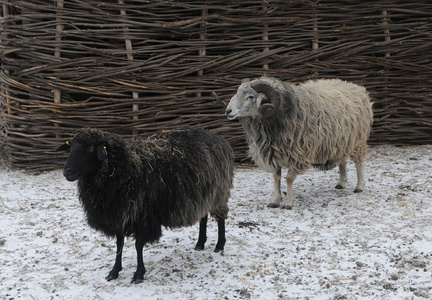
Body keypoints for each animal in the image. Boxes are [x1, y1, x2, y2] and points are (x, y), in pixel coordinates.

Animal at [57, 127, 235, 282]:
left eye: (91, 148)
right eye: (71, 146)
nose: (67, 171)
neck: (126, 167)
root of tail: (221, 140)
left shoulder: (142, 215)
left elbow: (138, 245)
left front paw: (138, 274)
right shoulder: (119, 213)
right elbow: (119, 244)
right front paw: (114, 271)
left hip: (219, 191)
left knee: (220, 218)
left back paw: (219, 245)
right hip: (205, 192)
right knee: (203, 216)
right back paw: (200, 243)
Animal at [224, 76, 372, 210]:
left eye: (250, 96)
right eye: (237, 92)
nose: (228, 111)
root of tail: (354, 86)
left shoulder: (298, 154)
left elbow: (289, 179)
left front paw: (288, 203)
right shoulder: (273, 153)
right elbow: (276, 178)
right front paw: (275, 201)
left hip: (358, 141)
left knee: (359, 163)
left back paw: (359, 186)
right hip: (342, 141)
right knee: (342, 160)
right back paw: (341, 182)